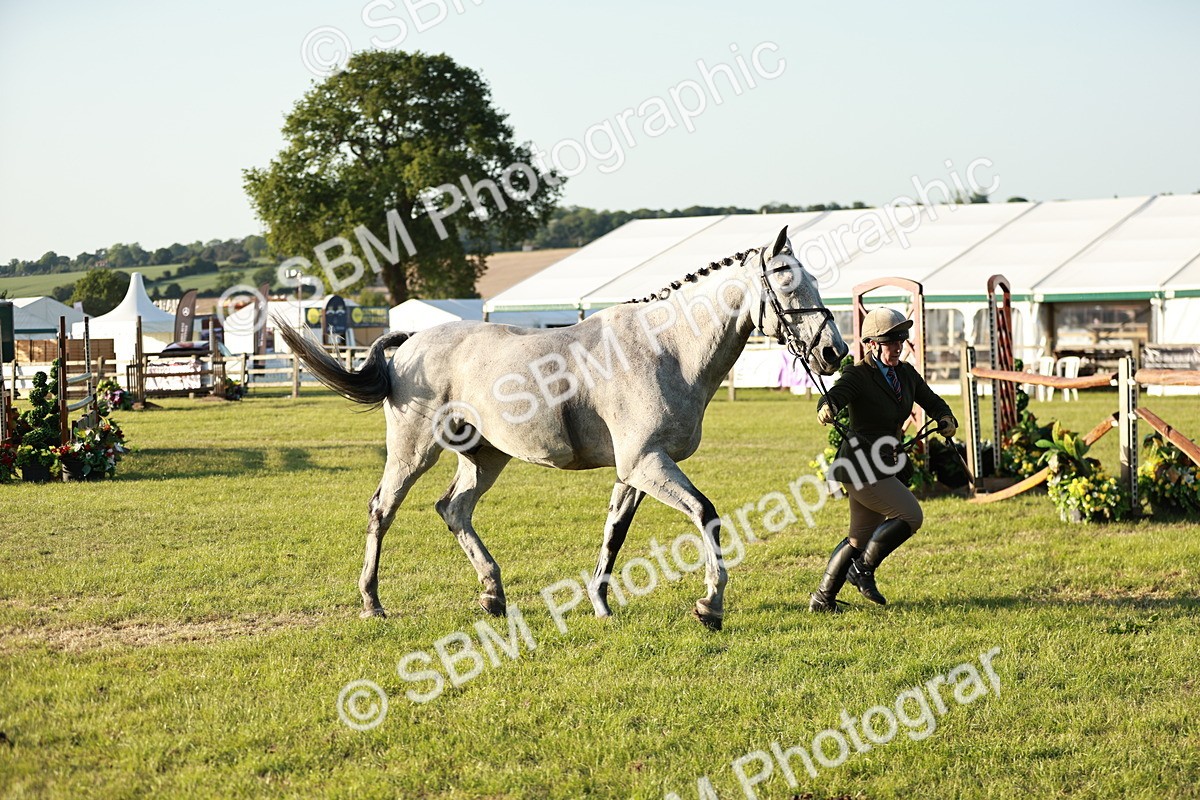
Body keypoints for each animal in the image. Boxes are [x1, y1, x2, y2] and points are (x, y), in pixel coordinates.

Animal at [275, 226, 848, 630]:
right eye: (789, 283)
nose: (835, 351)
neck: (667, 348)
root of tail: (412, 342)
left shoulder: (634, 471)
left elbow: (614, 534)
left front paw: (601, 602)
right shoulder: (647, 463)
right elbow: (705, 515)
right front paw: (711, 603)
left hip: (485, 456)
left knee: (453, 509)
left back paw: (493, 594)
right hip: (413, 452)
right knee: (383, 510)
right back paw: (372, 601)